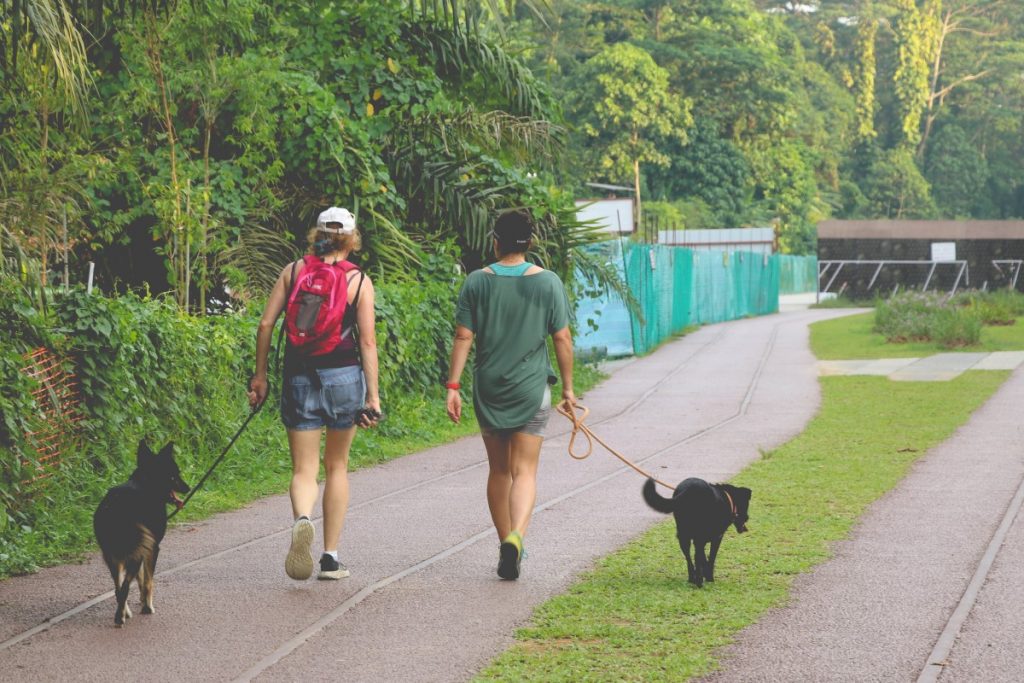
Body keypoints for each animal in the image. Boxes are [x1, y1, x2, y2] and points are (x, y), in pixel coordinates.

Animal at [94, 440, 190, 626]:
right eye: (174, 475)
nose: (188, 488)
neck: (146, 483)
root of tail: (116, 506)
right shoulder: (152, 548)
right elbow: (148, 581)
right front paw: (147, 607)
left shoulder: (140, 548)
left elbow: (139, 579)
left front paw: (140, 601)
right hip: (133, 553)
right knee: (124, 588)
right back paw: (120, 618)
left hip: (113, 556)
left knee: (118, 588)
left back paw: (124, 612)